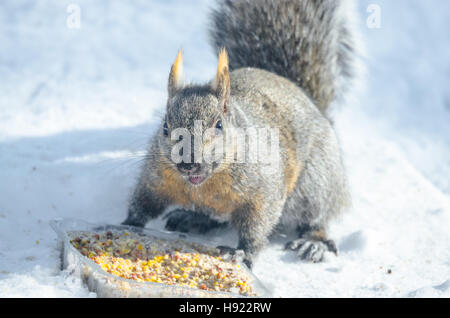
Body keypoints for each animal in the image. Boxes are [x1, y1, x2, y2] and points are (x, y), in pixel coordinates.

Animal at [122, 0, 358, 268]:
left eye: (219, 125)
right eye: (164, 126)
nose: (188, 164)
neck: (205, 185)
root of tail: (313, 104)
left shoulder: (264, 191)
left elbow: (257, 224)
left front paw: (243, 252)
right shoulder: (156, 178)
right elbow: (144, 202)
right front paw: (129, 224)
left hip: (315, 183)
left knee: (316, 218)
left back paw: (312, 242)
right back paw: (192, 217)